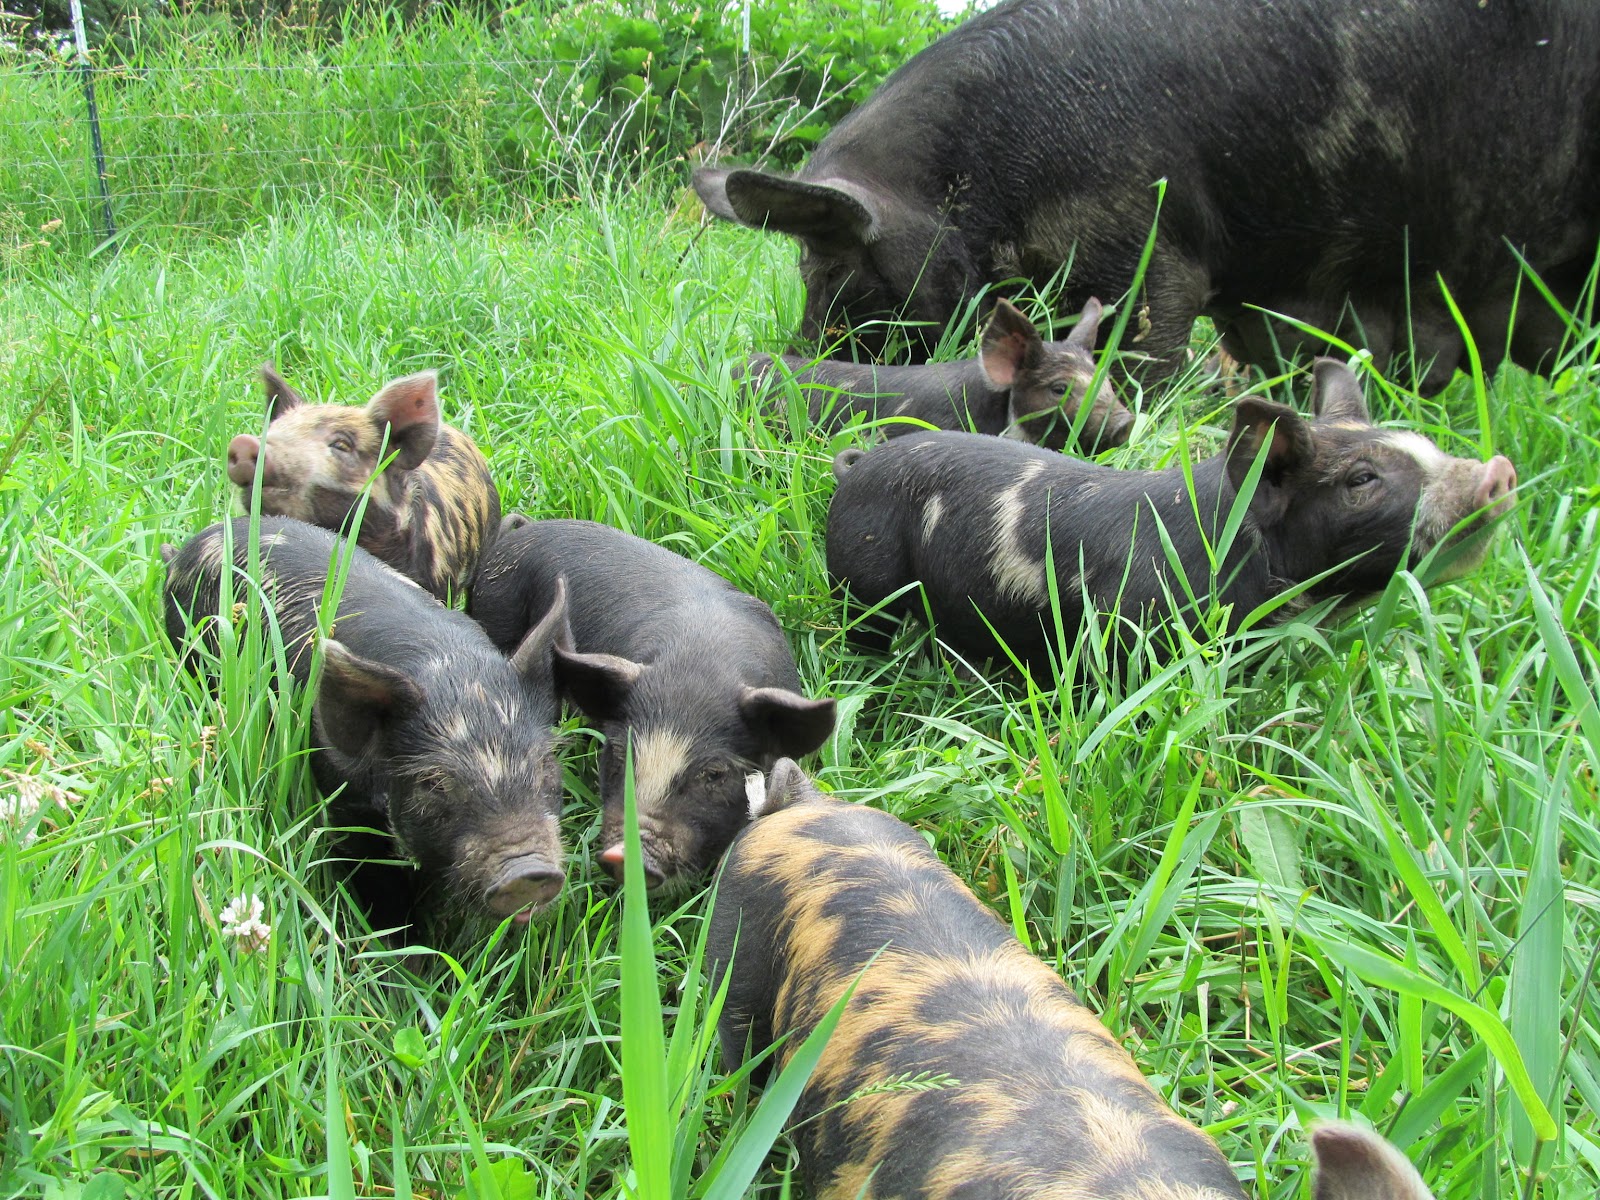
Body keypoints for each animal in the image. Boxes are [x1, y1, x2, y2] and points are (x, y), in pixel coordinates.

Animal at [162, 516, 570, 932]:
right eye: (433, 783)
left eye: (544, 763)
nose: (527, 872)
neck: (452, 672)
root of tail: (186, 549)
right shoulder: (344, 803)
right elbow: (379, 888)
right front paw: (399, 946)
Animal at [826, 359, 1516, 670]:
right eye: (1362, 479)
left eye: (1424, 444)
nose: (1497, 472)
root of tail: (855, 468)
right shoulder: (1134, 625)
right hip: (863, 576)